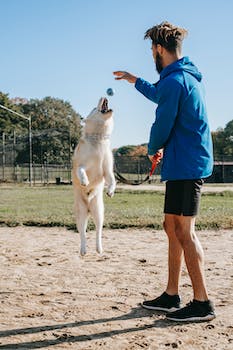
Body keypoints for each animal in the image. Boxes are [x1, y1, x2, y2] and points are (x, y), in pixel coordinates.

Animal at [73, 97, 115, 256]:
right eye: (93, 108)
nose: (104, 96)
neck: (98, 141)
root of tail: (89, 209)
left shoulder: (107, 170)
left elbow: (112, 180)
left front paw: (110, 190)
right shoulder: (81, 165)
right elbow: (81, 171)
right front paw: (85, 181)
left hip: (99, 212)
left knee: (98, 231)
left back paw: (99, 248)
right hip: (81, 214)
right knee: (82, 233)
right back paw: (83, 249)